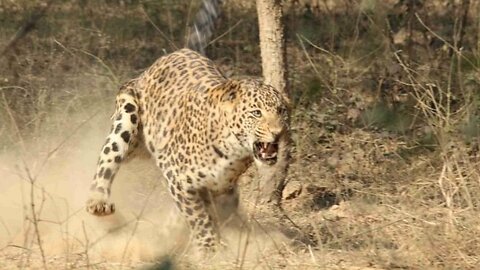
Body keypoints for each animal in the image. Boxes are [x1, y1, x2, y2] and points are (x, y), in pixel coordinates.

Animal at [84, 47, 290, 252]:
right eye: (256, 113)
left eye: (281, 111)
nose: (278, 132)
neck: (233, 151)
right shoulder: (178, 178)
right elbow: (198, 217)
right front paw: (210, 249)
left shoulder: (219, 187)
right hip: (128, 118)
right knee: (108, 156)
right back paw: (98, 202)